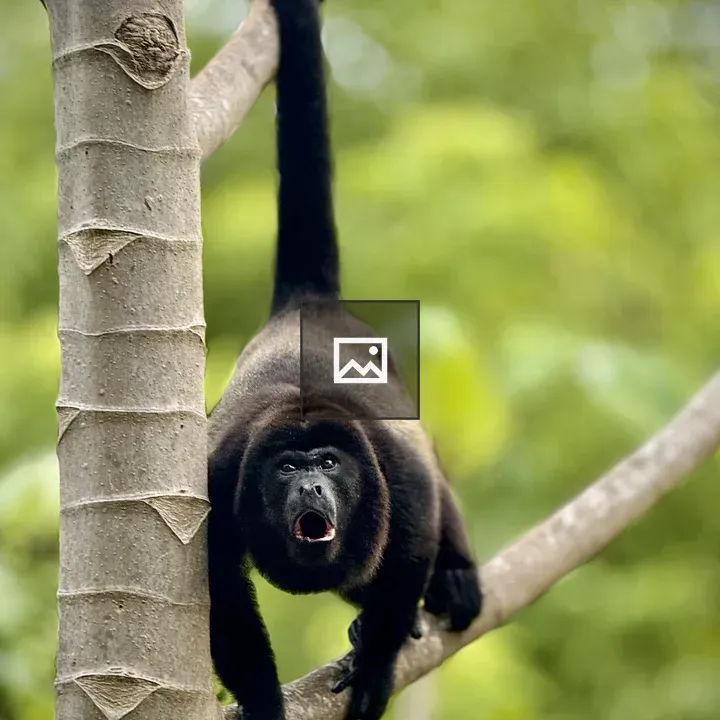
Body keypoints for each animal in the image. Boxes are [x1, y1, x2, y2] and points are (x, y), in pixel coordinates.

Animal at [206, 0, 483, 717]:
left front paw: (376, 666)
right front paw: (265, 700)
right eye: (286, 467)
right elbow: (222, 594)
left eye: (328, 463)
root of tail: (309, 305)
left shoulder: (394, 472)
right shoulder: (220, 477)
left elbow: (409, 551)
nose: (310, 484)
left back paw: (457, 577)